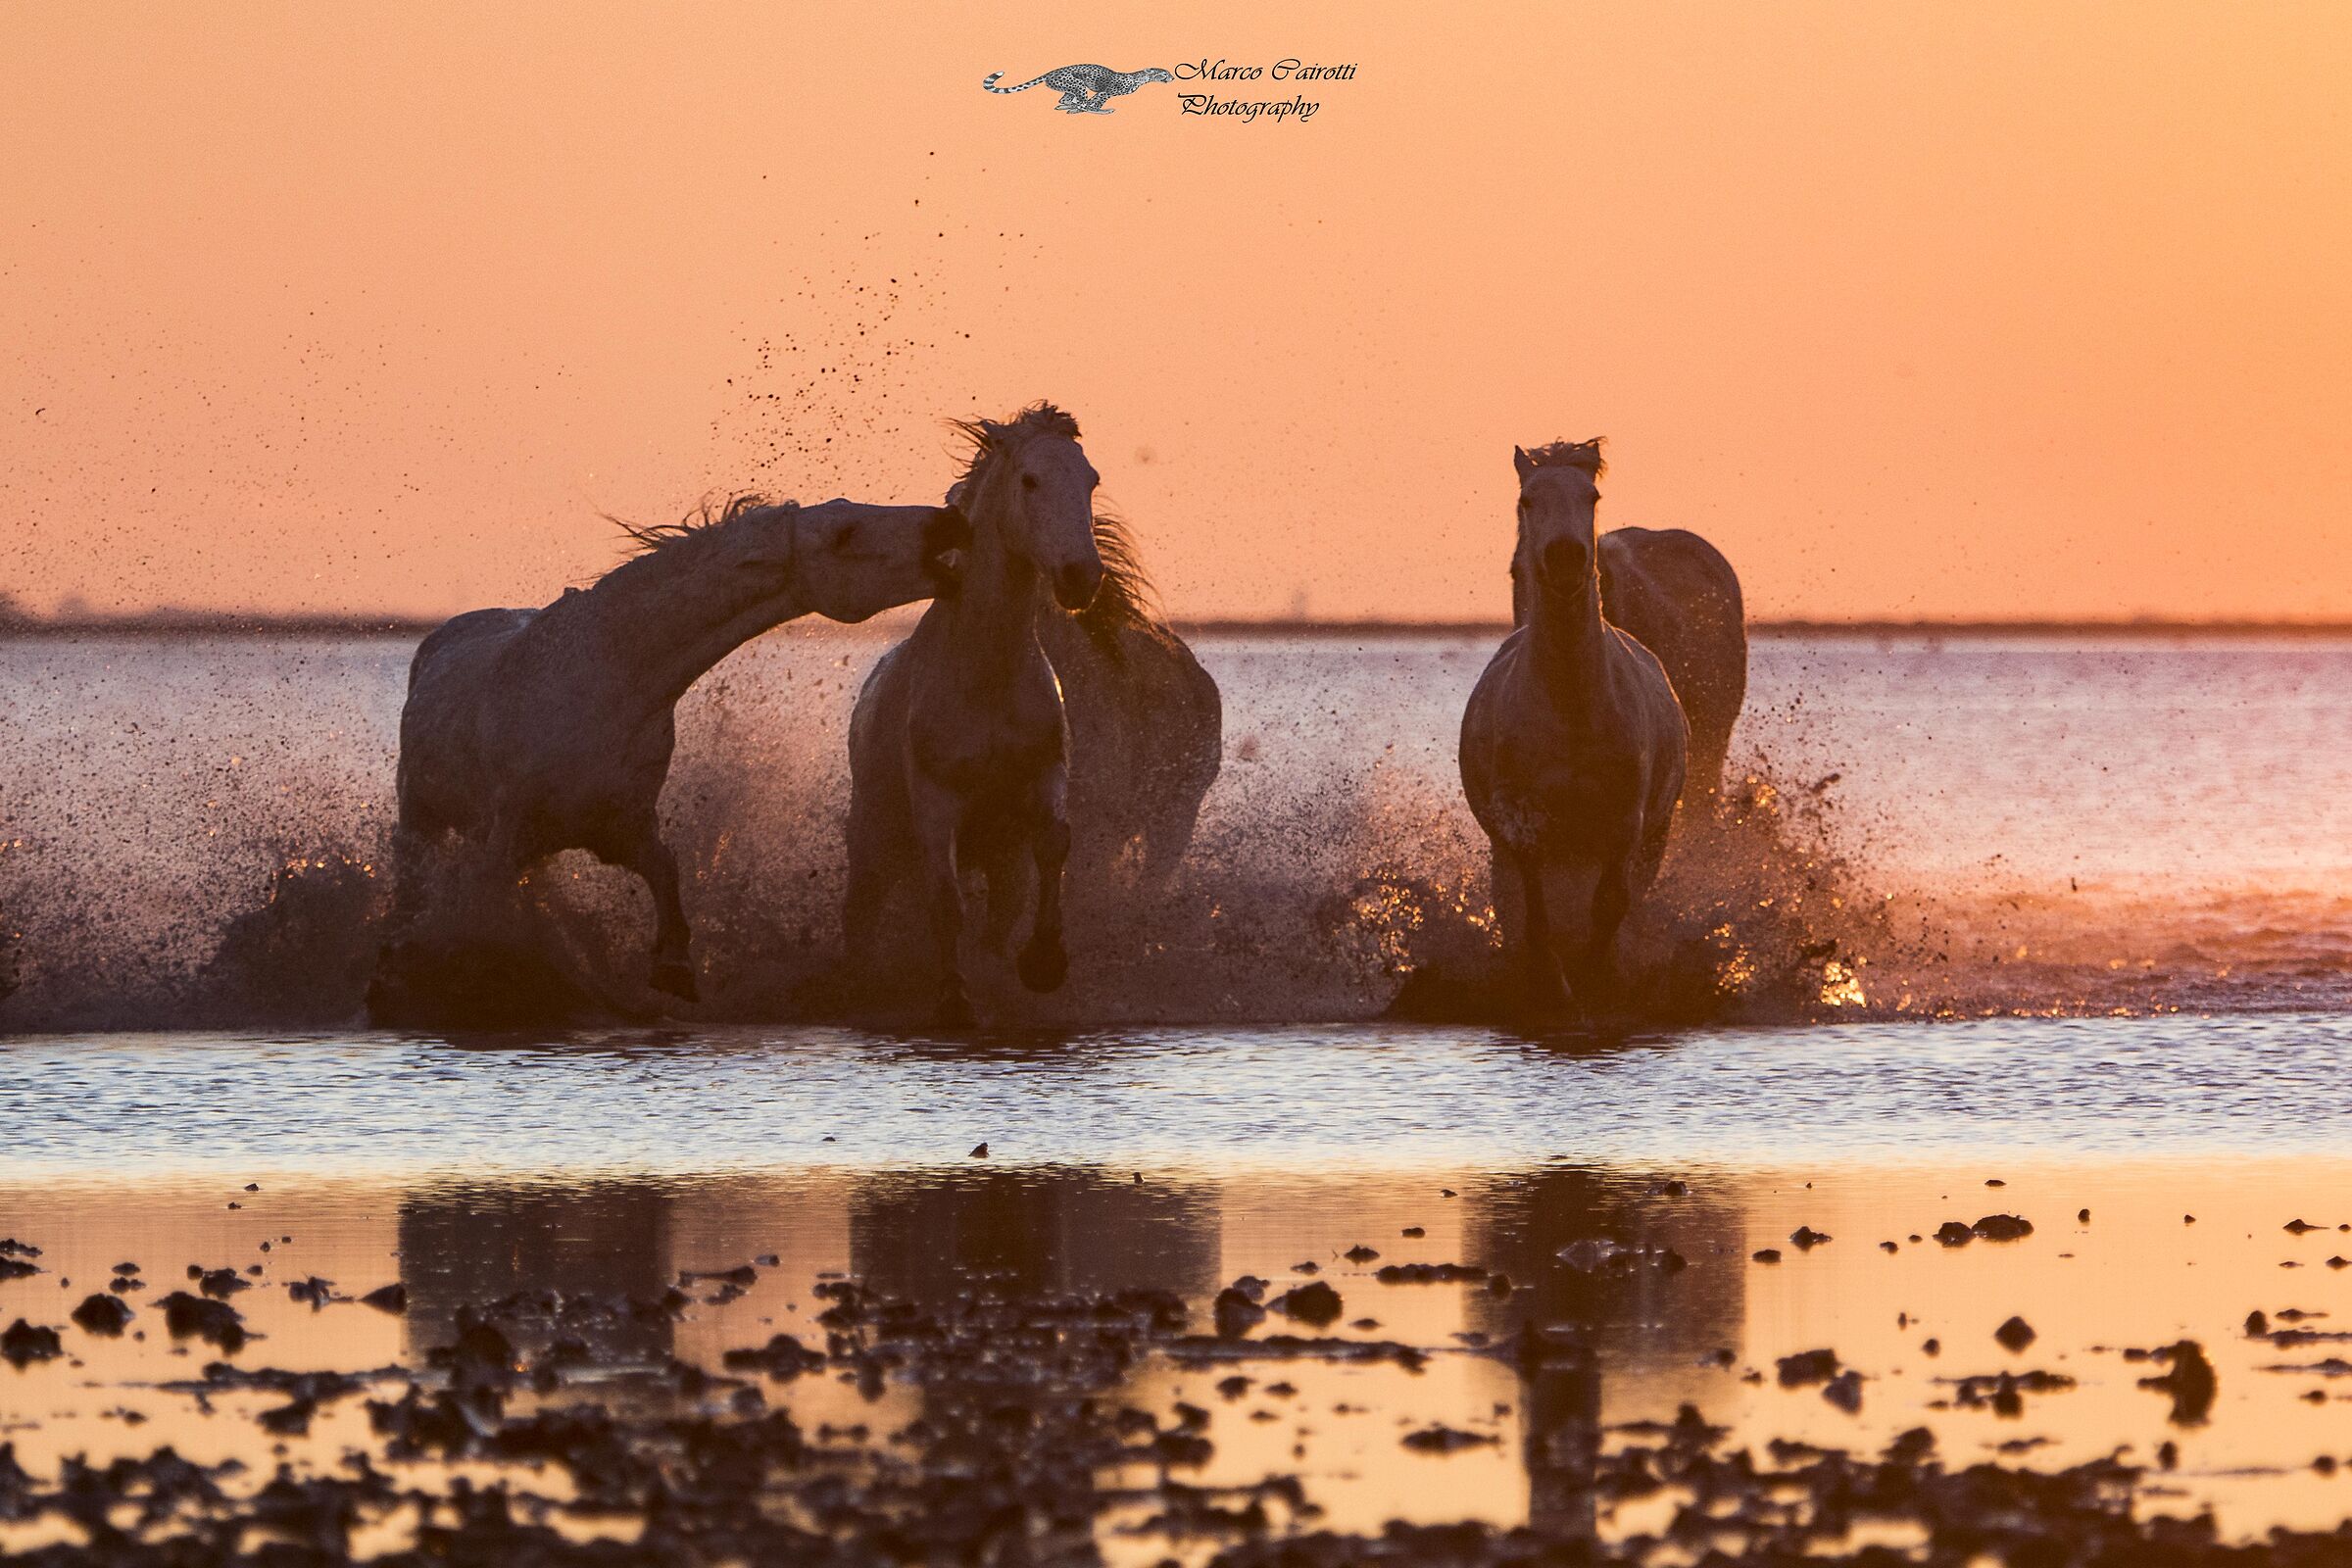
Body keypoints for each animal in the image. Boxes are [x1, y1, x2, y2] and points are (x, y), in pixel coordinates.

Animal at [379, 494, 966, 1013]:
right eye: (845, 534)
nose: (951, 522)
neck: (610, 679)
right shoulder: (509, 836)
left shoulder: (621, 826)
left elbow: (666, 873)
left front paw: (674, 971)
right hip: (420, 815)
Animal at [844, 402, 1219, 1025]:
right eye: (1029, 480)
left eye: (1091, 480)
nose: (1080, 576)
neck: (987, 677)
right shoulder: (936, 805)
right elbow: (945, 901)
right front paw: (954, 1001)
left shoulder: (1043, 788)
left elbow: (1053, 848)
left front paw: (1043, 963)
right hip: (873, 838)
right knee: (865, 912)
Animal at [1462, 439, 1689, 1017]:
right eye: (1527, 499)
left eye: (1592, 496)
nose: (1565, 560)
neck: (1572, 710)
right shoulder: (1522, 823)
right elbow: (1533, 911)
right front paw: (1553, 988)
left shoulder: (1625, 823)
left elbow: (1610, 905)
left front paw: (1596, 982)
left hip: (1652, 834)